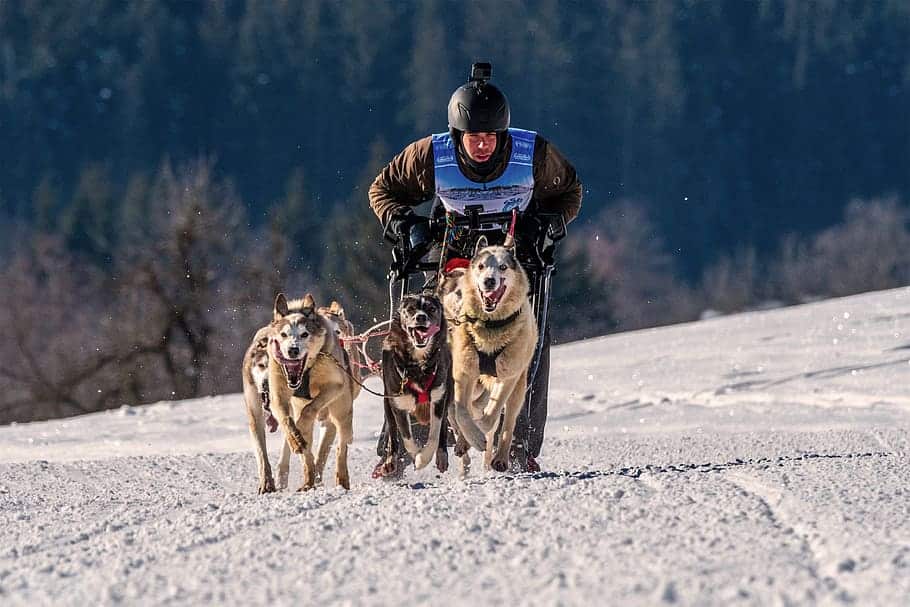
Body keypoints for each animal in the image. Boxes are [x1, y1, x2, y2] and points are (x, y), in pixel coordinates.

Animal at [268, 294, 354, 490]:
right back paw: (308, 482)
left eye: (304, 334)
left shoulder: (334, 385)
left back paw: (341, 478)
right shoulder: (278, 395)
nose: (292, 350)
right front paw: (295, 439)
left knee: (341, 447)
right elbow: (286, 419)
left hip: (342, 414)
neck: (306, 371)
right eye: (283, 334)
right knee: (308, 458)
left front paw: (300, 425)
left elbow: (309, 410)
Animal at [374, 294, 452, 480]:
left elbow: (434, 435)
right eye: (410, 309)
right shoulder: (398, 405)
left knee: (443, 429)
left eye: (432, 308)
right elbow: (406, 437)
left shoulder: (439, 399)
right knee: (392, 434)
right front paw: (417, 456)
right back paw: (390, 461)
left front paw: (424, 458)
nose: (421, 317)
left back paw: (442, 456)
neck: (417, 366)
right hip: (388, 404)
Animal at [446, 236, 536, 476]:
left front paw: (480, 432)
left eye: (503, 267)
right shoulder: (463, 372)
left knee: (507, 424)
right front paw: (470, 436)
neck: (490, 325)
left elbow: (492, 416)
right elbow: (461, 410)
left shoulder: (507, 376)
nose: (488, 281)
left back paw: (500, 458)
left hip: (518, 388)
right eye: (481, 266)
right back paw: (464, 442)